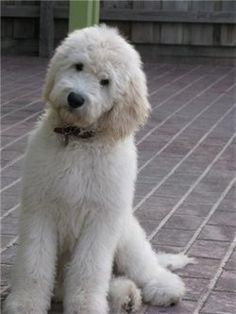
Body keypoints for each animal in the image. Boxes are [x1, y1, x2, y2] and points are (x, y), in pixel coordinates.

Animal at [3, 25, 193, 314]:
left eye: (105, 81)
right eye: (78, 66)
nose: (75, 98)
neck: (79, 140)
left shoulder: (101, 218)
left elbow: (89, 268)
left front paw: (85, 306)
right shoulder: (40, 209)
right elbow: (35, 261)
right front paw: (26, 303)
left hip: (126, 237)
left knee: (143, 268)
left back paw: (163, 288)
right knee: (115, 280)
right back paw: (126, 297)